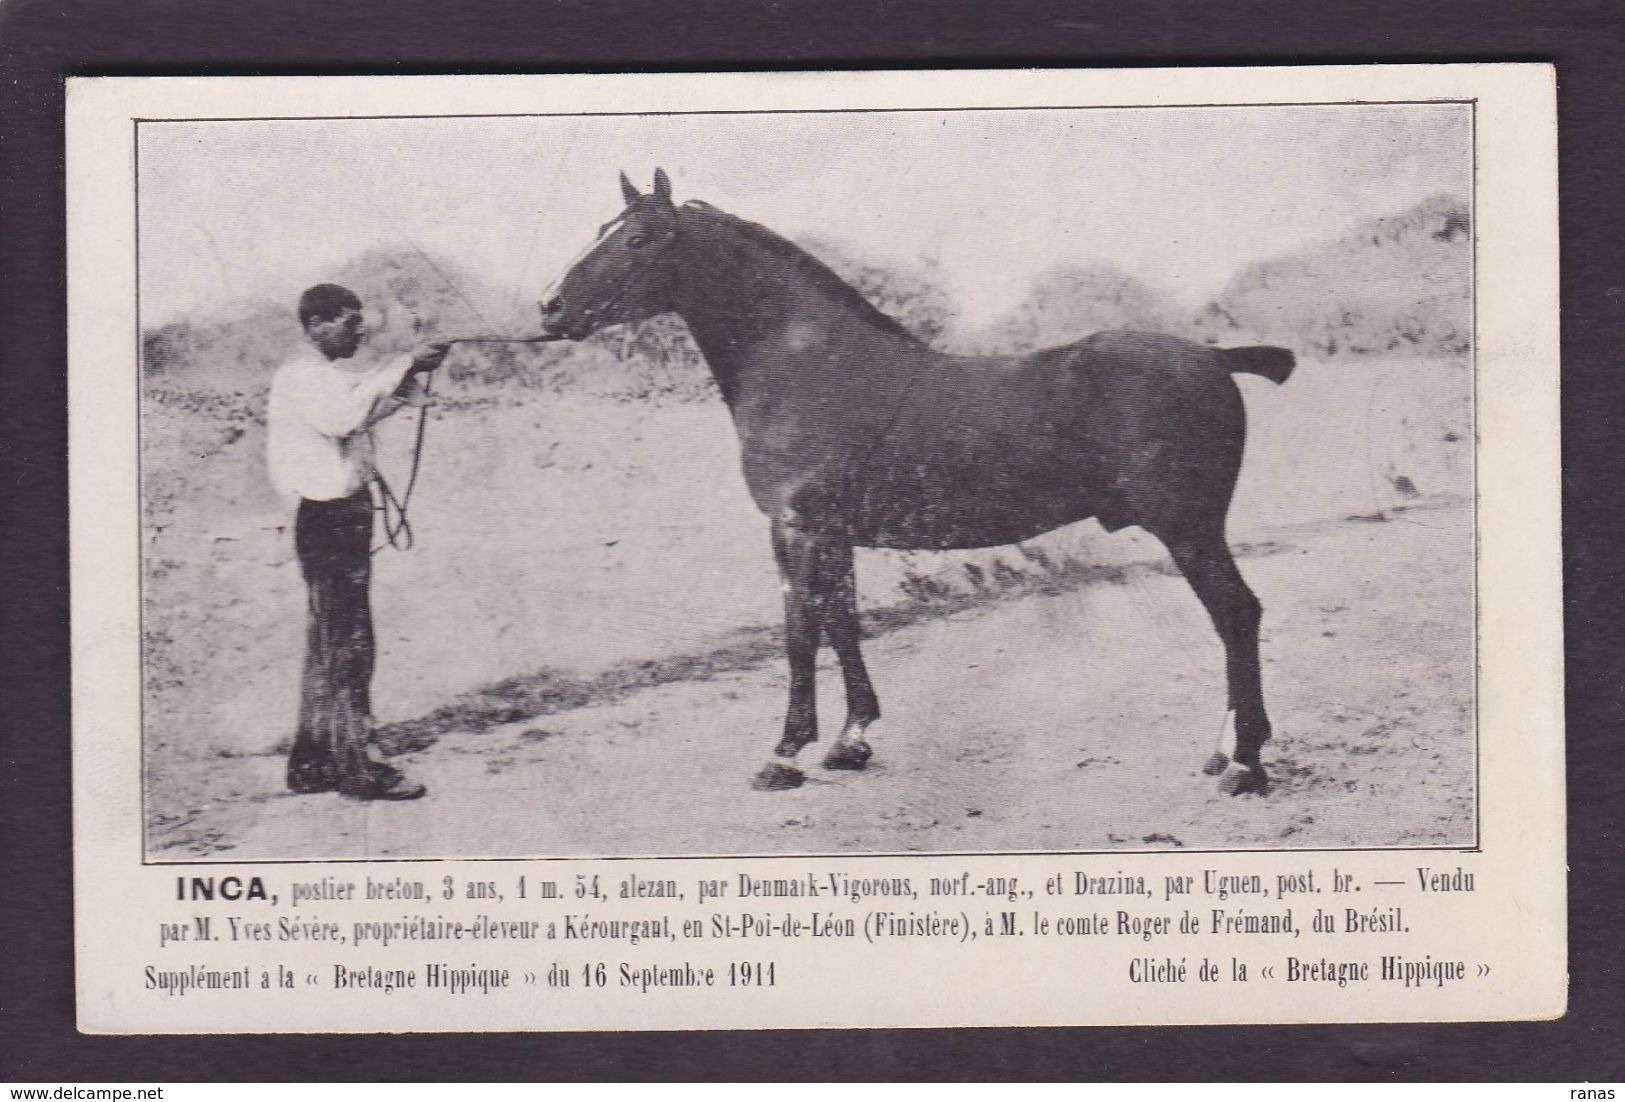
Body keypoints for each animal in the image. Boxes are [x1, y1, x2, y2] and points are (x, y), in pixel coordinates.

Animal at [542, 168, 1293, 799]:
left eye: (639, 238)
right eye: (602, 228)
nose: (550, 308)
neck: (807, 368)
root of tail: (1213, 357)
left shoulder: (794, 528)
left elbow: (799, 630)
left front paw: (783, 753)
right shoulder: (832, 534)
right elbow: (842, 622)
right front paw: (850, 741)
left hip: (1188, 528)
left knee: (1236, 615)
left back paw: (1243, 764)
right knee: (1233, 619)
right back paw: (1223, 751)